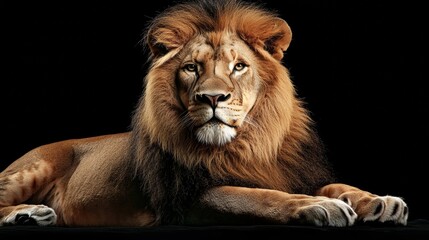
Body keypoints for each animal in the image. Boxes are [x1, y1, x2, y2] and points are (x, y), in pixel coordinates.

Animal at [0, 0, 408, 227]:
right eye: (191, 68)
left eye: (239, 67)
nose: (212, 98)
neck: (247, 145)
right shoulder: (184, 201)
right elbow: (259, 197)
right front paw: (319, 206)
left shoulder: (291, 173)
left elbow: (336, 184)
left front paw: (378, 201)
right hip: (32, 168)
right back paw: (29, 213)